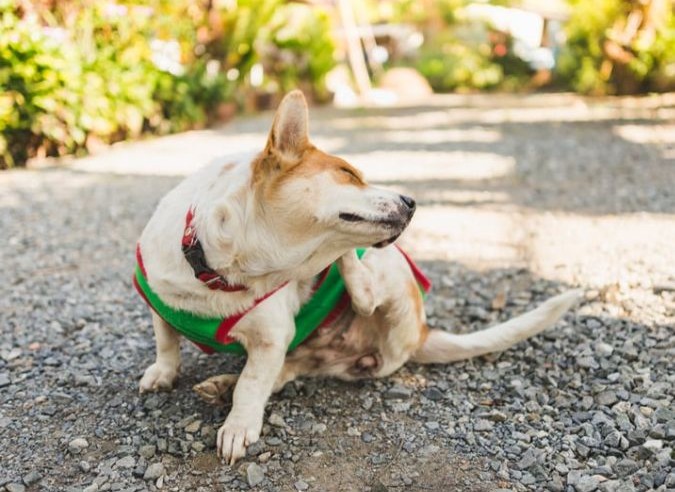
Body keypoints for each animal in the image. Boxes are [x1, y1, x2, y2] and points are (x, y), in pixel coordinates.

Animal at [133, 89, 580, 466]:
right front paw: (163, 372)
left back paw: (344, 264)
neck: (221, 269)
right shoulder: (160, 301)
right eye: (348, 172)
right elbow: (166, 340)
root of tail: (422, 331)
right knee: (288, 370)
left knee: (364, 295)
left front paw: (239, 425)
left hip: (391, 271)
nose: (412, 202)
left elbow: (253, 385)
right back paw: (223, 383)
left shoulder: (271, 337)